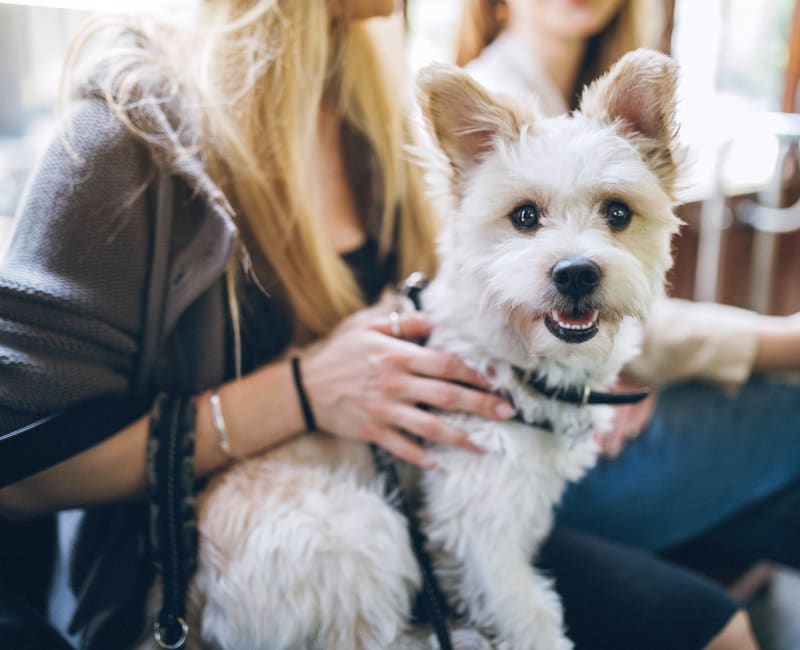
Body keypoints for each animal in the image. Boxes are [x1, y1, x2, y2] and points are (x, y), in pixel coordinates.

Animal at [169, 48, 680, 644]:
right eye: (525, 216)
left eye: (617, 213)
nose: (575, 273)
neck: (509, 359)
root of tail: (195, 602)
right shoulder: (477, 519)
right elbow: (528, 613)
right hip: (365, 530)